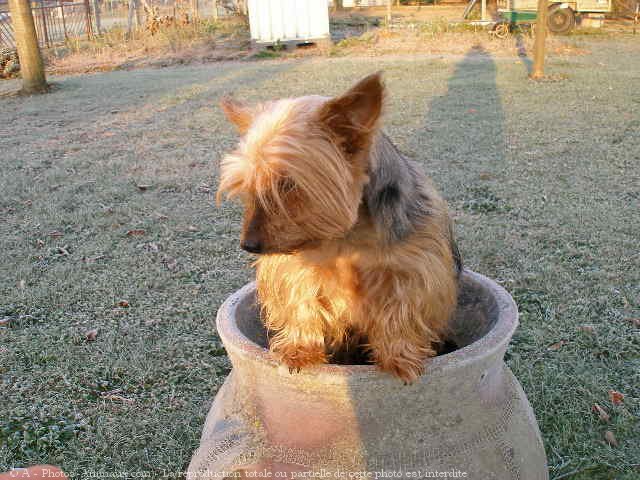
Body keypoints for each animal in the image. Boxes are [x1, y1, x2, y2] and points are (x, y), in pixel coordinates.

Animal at [216, 72, 460, 382]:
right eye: (247, 185)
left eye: (287, 184)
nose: (248, 244)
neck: (347, 236)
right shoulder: (294, 267)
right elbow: (300, 301)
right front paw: (300, 349)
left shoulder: (413, 268)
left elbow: (401, 310)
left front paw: (398, 356)